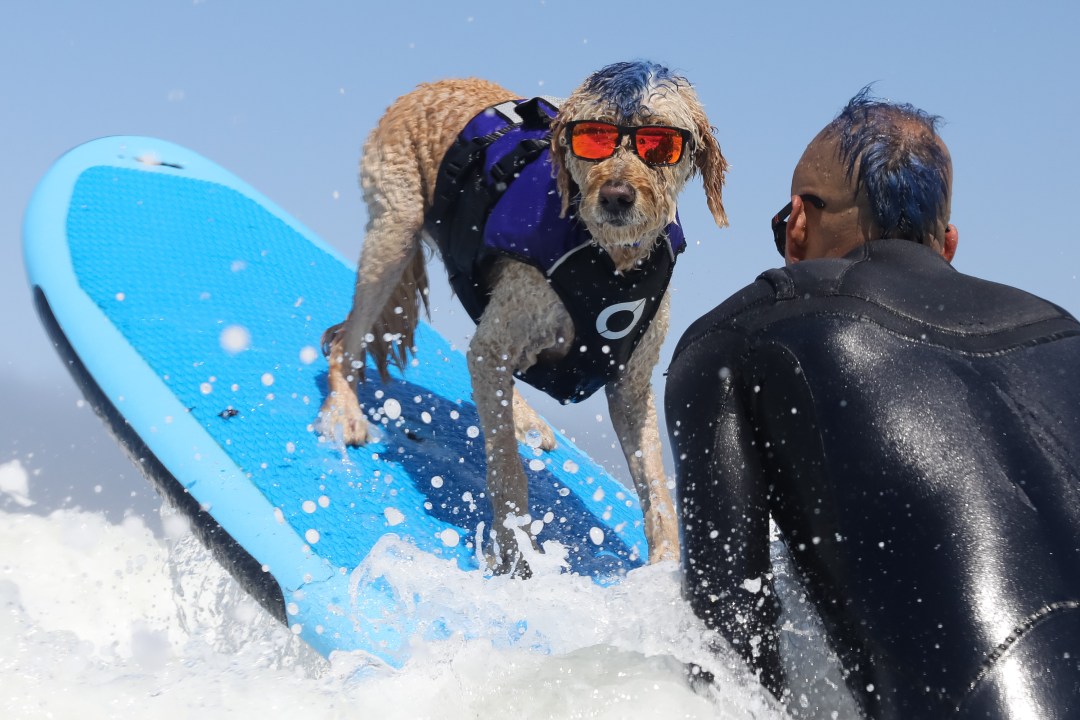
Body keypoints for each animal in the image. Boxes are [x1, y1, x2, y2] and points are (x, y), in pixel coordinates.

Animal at [315, 63, 730, 578]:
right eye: (593, 137)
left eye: (659, 144)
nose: (616, 196)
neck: (607, 260)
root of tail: (424, 86)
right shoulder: (503, 334)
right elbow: (508, 470)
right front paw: (517, 552)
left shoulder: (629, 384)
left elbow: (656, 491)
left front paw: (663, 570)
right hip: (395, 232)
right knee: (347, 339)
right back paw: (344, 408)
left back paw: (521, 415)